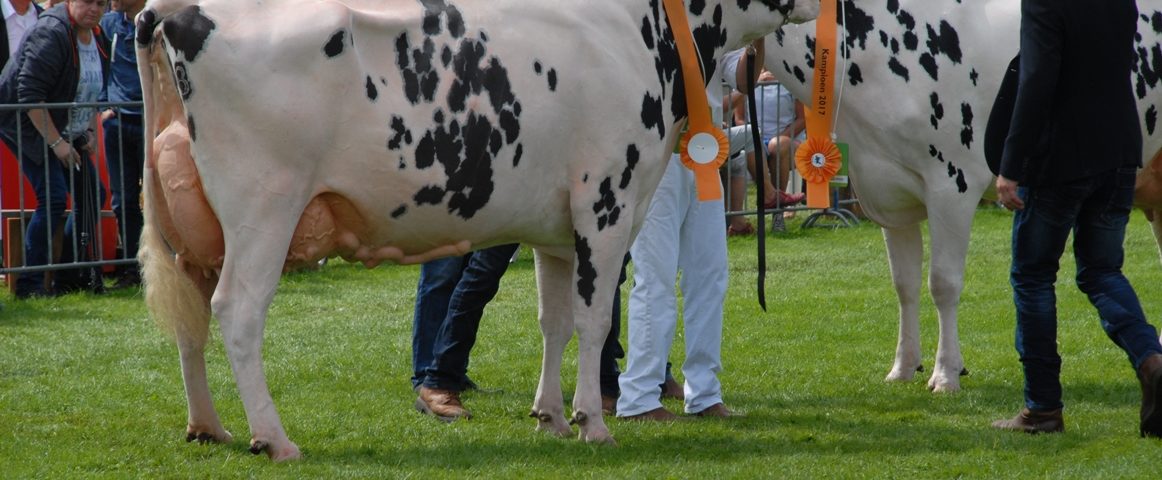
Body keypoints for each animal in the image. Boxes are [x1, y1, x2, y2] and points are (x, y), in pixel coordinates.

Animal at [135, 0, 822, 460]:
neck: (644, 31)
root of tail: (176, 11)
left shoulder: (555, 230)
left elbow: (555, 321)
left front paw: (550, 417)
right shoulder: (607, 202)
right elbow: (594, 321)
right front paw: (593, 423)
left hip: (190, 231)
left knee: (191, 320)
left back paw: (209, 427)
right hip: (264, 208)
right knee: (237, 311)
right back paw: (274, 439)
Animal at [762, 0, 1162, 390]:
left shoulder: (952, 184)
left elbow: (942, 282)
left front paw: (945, 373)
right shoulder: (887, 190)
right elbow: (904, 284)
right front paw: (903, 367)